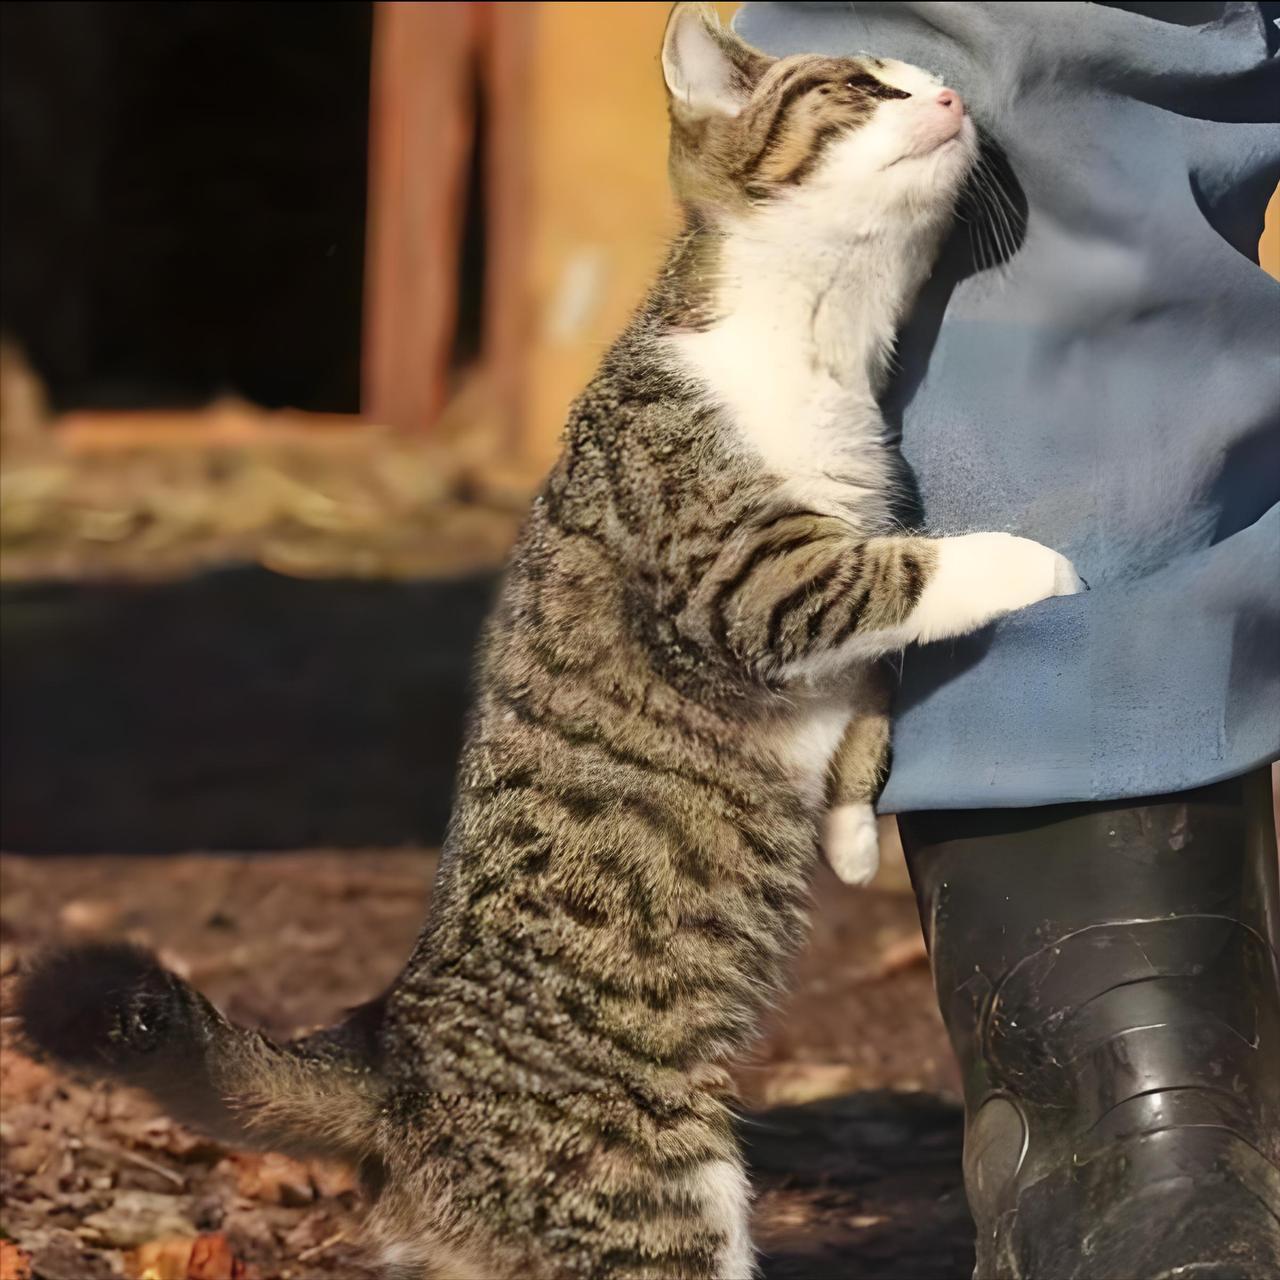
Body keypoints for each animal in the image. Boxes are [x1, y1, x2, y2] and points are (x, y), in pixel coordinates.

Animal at [20, 5, 1080, 1274]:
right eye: (860, 89)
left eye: (911, 78)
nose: (951, 100)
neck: (817, 345)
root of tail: (396, 1072)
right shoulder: (740, 576)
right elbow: (904, 569)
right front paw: (1032, 562)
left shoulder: (814, 594)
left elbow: (870, 670)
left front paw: (852, 829)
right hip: (660, 1201)